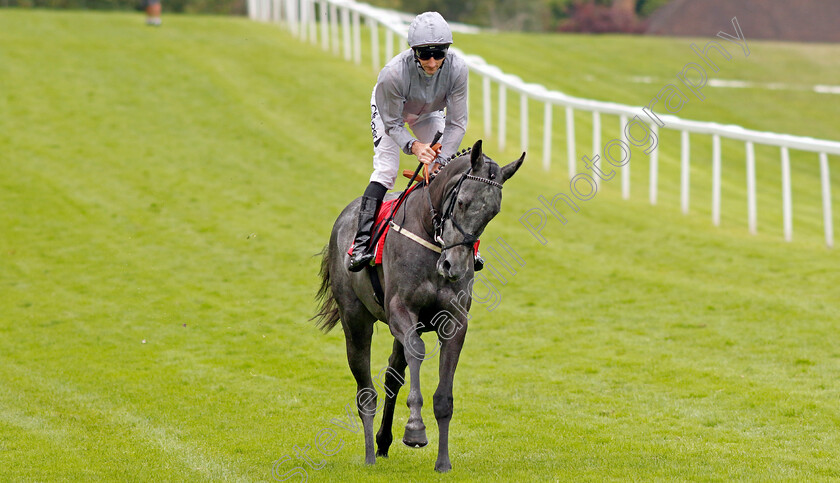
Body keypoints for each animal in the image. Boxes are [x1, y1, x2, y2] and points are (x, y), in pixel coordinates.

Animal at [316, 140, 524, 472]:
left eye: (493, 212)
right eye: (462, 202)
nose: (454, 266)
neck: (431, 234)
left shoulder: (455, 322)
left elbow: (443, 397)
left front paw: (443, 462)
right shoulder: (401, 311)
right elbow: (418, 349)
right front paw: (415, 429)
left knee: (392, 375)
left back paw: (383, 441)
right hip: (355, 319)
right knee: (366, 391)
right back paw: (369, 455)